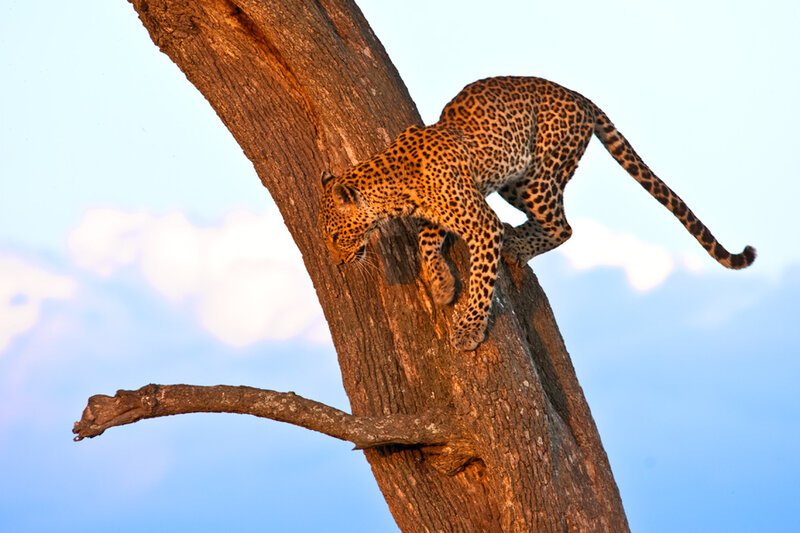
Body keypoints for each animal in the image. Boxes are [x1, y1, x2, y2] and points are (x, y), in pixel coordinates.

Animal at [318, 76, 756, 351]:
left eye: (337, 237)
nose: (338, 263)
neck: (393, 186)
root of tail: (577, 95)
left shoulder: (481, 224)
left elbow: (482, 280)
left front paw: (469, 329)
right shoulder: (440, 212)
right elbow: (427, 241)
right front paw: (442, 284)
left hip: (540, 174)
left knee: (563, 227)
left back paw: (517, 243)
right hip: (514, 181)